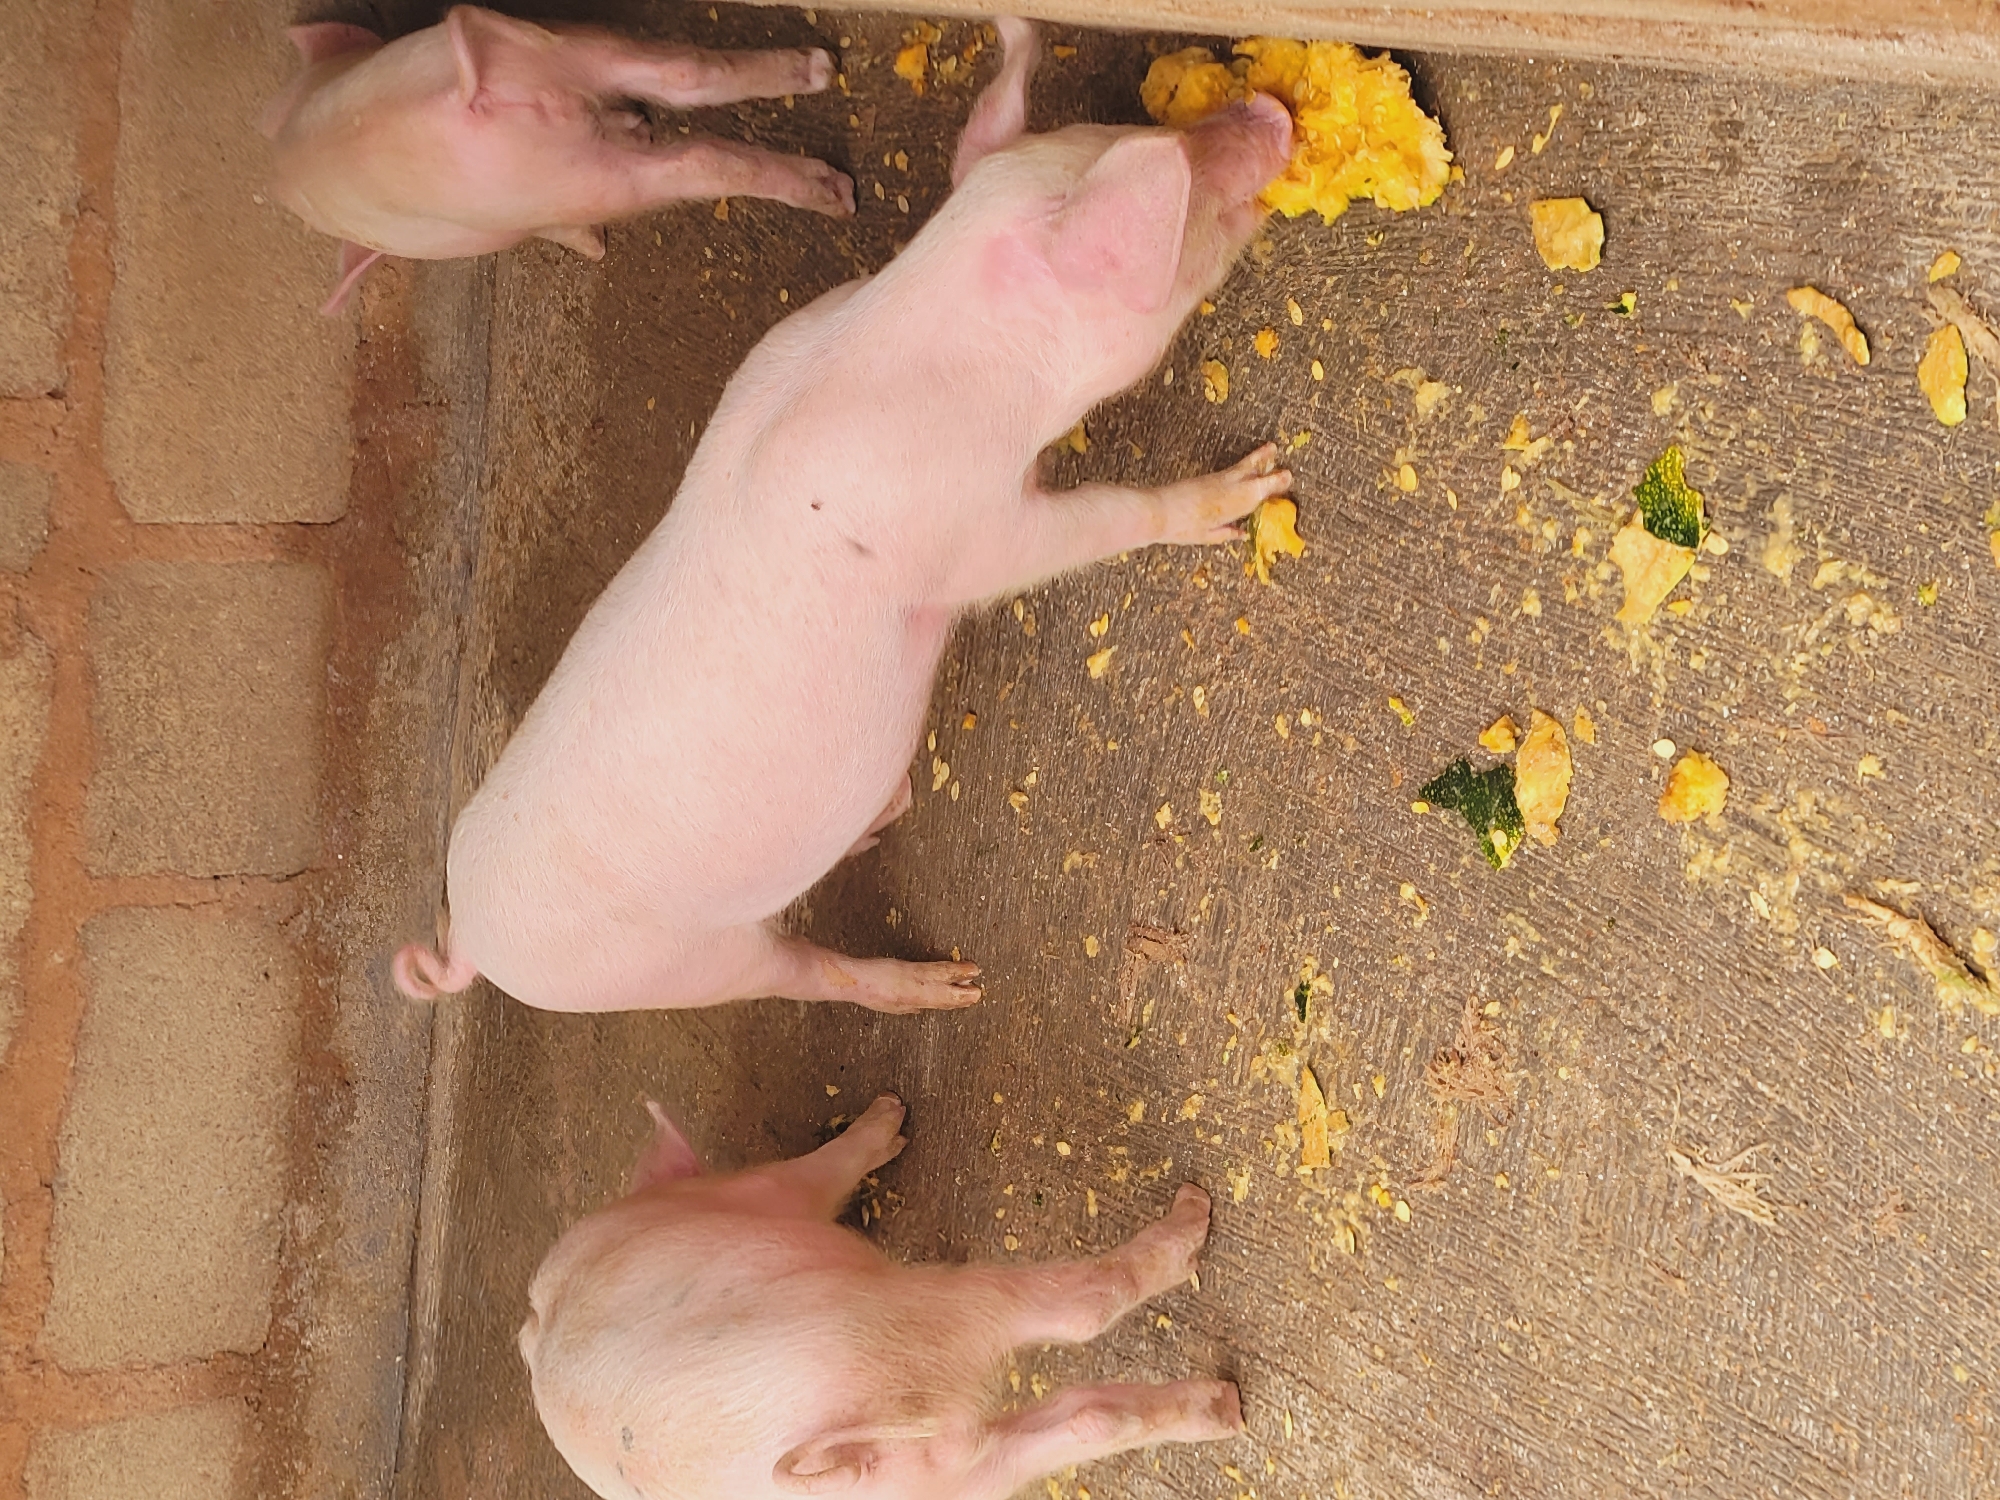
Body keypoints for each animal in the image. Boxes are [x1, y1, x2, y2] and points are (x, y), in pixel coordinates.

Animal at [260, 5, 856, 314]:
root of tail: (466, 99)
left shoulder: (528, 218)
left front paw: (594, 247)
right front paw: (636, 127)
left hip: (552, 184)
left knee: (697, 163)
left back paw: (840, 197)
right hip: (568, 51)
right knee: (686, 74)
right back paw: (820, 70)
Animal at [391, 16, 1295, 1013]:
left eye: (1120, 128)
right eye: (1180, 189)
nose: (1269, 106)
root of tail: (471, 944)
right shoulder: (969, 536)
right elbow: (1091, 525)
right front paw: (1256, 489)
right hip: (677, 966)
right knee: (812, 972)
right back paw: (950, 987)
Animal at [520, 1093, 1242, 1499]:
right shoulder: (767, 1196)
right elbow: (816, 1173)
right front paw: (891, 1117)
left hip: (932, 1478)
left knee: (1078, 1425)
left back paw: (1223, 1409)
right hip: (903, 1317)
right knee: (1074, 1313)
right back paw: (1191, 1220)